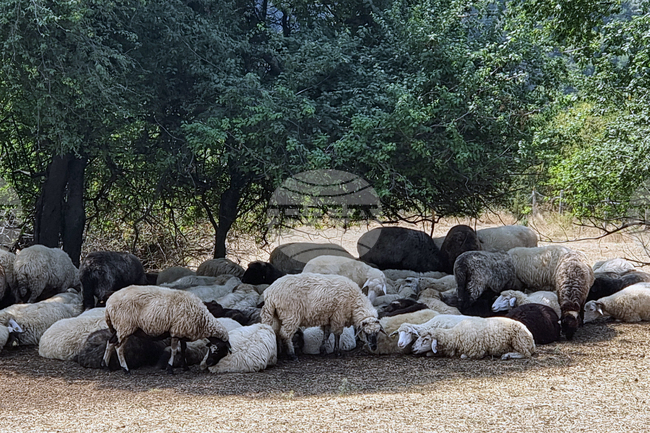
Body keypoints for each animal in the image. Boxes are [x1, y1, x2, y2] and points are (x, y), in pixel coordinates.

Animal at [102, 285, 231, 374]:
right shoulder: (176, 331)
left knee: (110, 342)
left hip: (118, 328)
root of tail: (109, 304)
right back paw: (125, 369)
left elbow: (183, 349)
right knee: (119, 348)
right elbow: (174, 350)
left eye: (219, 351)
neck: (203, 320)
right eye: (216, 350)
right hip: (124, 326)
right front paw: (170, 369)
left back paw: (105, 365)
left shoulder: (182, 331)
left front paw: (185, 367)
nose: (208, 363)